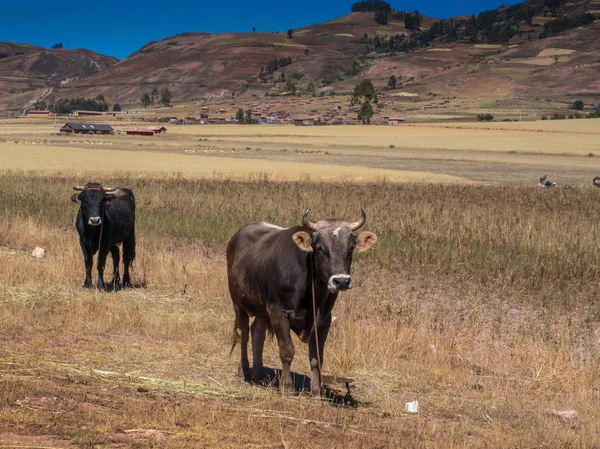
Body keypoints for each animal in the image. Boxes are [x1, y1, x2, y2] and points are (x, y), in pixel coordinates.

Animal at [227, 208, 378, 394]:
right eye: (320, 248)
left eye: (350, 248)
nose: (341, 281)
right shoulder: (278, 312)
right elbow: (287, 350)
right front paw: (287, 387)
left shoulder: (324, 319)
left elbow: (317, 357)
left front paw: (317, 390)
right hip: (238, 303)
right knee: (244, 333)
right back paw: (244, 371)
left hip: (262, 310)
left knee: (257, 333)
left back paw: (257, 373)